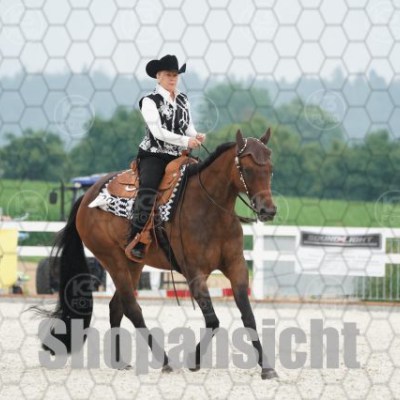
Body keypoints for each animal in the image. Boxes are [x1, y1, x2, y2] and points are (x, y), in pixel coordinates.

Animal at [40, 129, 277, 379]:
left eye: (270, 168)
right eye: (247, 169)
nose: (268, 210)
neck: (210, 209)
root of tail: (86, 197)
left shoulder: (236, 266)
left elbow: (248, 316)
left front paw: (267, 367)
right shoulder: (194, 273)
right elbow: (213, 320)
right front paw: (193, 361)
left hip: (133, 264)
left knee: (117, 307)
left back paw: (119, 362)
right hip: (112, 260)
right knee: (132, 309)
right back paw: (165, 361)